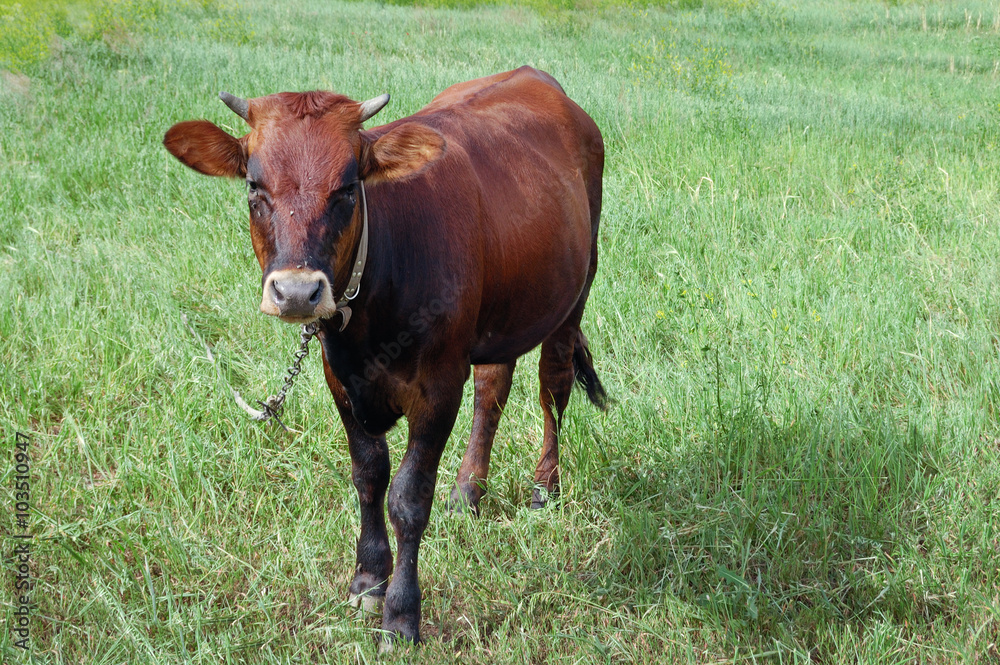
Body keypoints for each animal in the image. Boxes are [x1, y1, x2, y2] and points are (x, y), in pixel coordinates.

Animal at [163, 66, 607, 648]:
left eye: (348, 187)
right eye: (255, 186)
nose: (298, 292)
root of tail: (539, 78)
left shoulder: (438, 385)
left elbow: (408, 498)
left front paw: (401, 613)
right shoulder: (339, 380)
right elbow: (369, 476)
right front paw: (368, 580)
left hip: (573, 295)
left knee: (552, 387)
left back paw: (542, 489)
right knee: (492, 389)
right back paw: (468, 492)